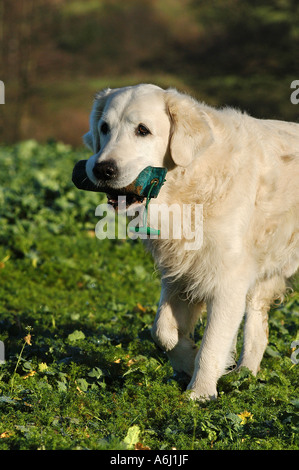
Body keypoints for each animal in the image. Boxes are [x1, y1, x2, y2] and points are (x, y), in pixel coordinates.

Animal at [80, 84, 299, 400]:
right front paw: (185, 359)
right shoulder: (181, 273)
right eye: (104, 128)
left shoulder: (227, 280)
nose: (102, 169)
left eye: (143, 130)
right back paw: (245, 373)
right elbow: (162, 332)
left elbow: (212, 344)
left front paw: (200, 392)